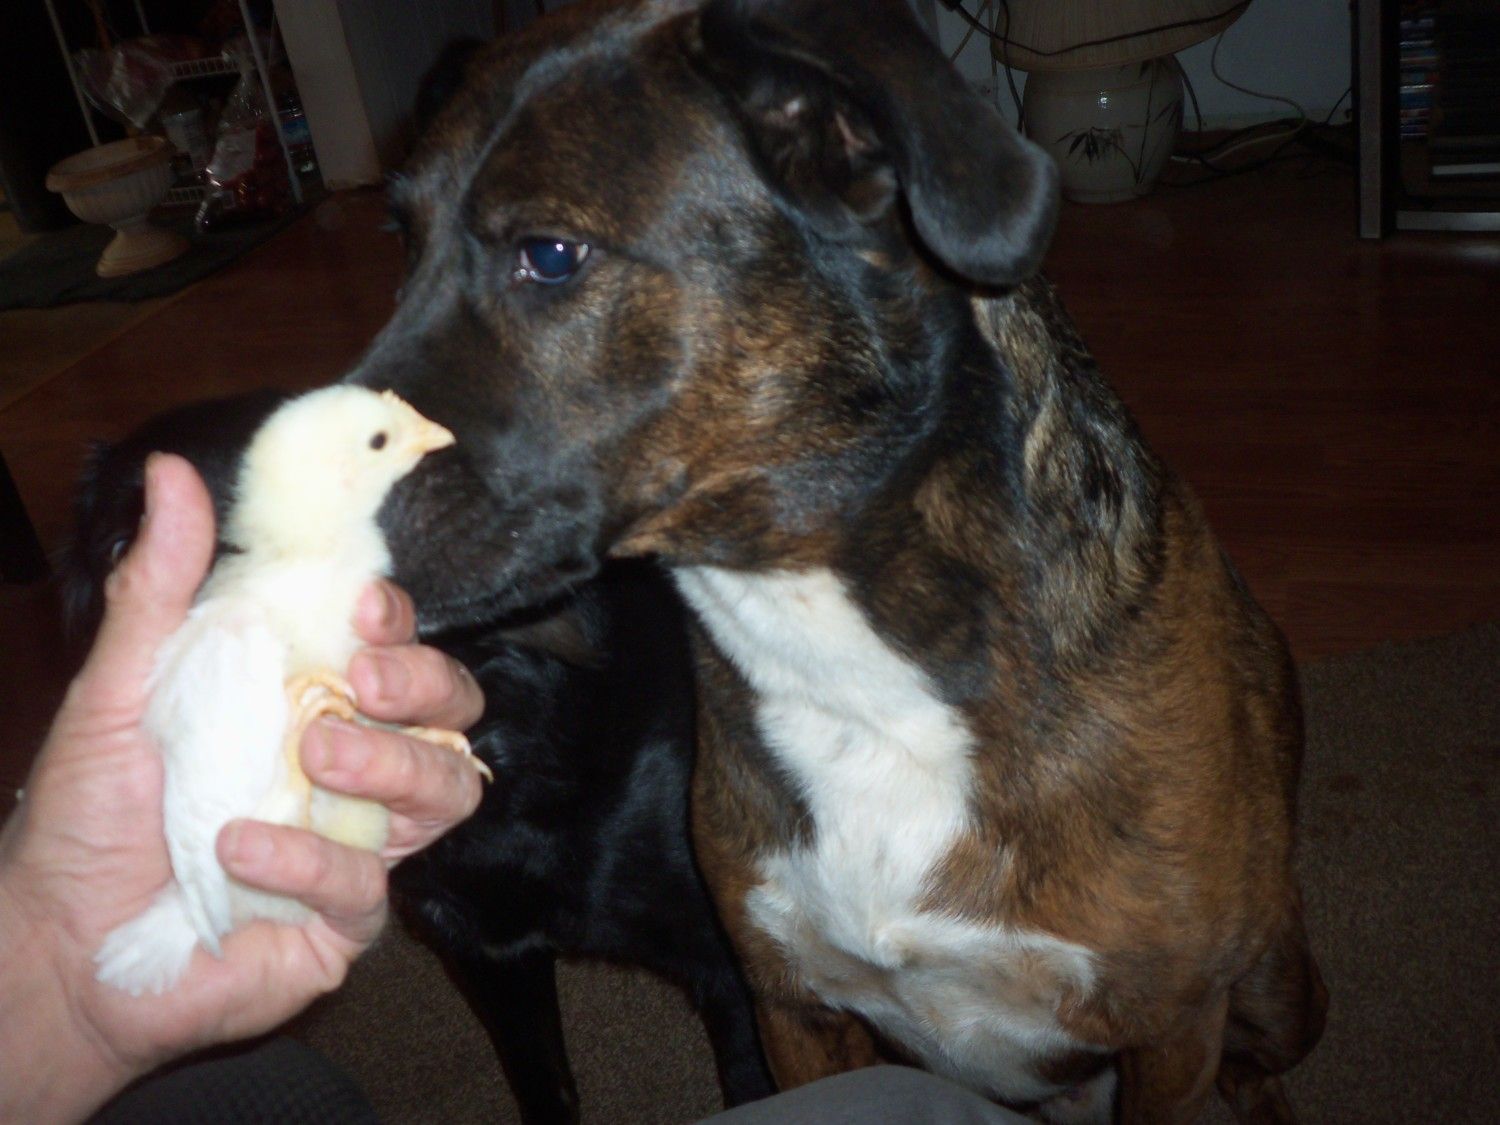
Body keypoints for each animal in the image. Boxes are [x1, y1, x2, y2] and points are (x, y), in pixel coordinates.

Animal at [346, 1, 1329, 1121]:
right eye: (402, 240)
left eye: (551, 255)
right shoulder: (790, 1007)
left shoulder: (1170, 1029)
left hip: (1279, 988)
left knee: (1258, 1065)